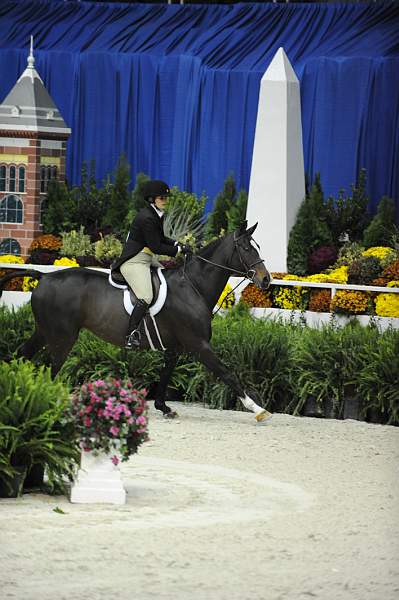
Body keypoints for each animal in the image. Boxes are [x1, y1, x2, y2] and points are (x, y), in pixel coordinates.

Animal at [0, 221, 274, 422]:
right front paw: (258, 409)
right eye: (247, 249)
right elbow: (227, 373)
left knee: (23, 355)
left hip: (44, 332)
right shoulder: (199, 346)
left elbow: (165, 375)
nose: (266, 280)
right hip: (62, 338)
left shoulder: (175, 348)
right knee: (50, 368)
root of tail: (43, 277)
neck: (193, 286)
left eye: (258, 247)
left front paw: (164, 407)